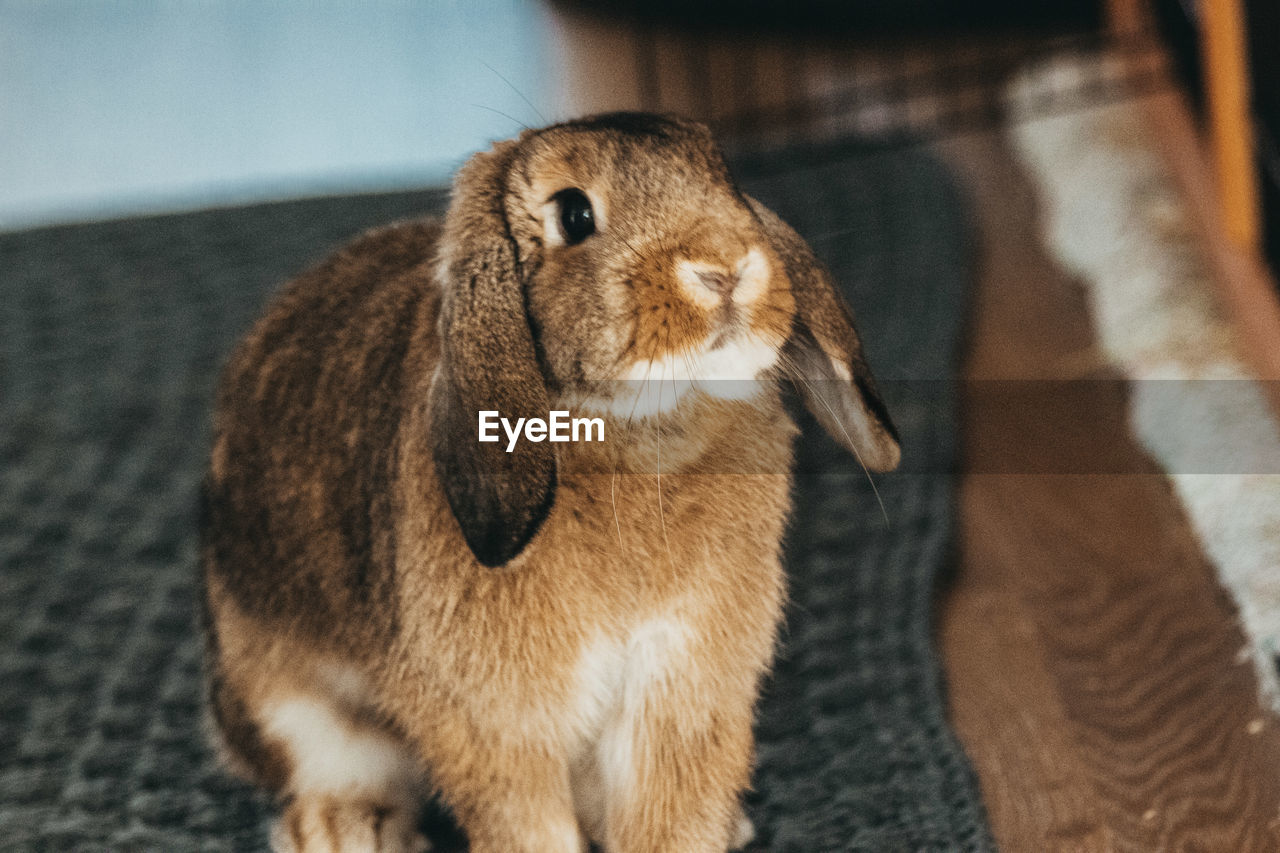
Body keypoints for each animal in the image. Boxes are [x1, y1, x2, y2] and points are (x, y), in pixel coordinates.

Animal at [199, 112, 901, 850]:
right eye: (574, 213)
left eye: (725, 179)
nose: (726, 268)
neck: (642, 431)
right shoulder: (496, 718)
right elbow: (527, 820)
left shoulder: (680, 685)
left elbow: (668, 808)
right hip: (286, 699)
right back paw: (351, 827)